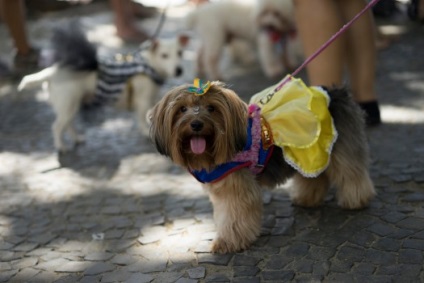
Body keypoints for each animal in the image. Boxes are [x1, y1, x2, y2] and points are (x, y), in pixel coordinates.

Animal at [18, 21, 187, 153]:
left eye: (180, 53)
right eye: (164, 55)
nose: (179, 70)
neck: (149, 64)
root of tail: (52, 72)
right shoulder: (142, 101)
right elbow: (141, 118)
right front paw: (147, 132)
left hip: (70, 107)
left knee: (68, 125)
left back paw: (77, 139)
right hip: (68, 106)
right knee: (57, 127)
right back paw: (61, 146)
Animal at [151, 78, 376, 255]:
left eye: (212, 109)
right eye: (182, 109)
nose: (196, 124)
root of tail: (337, 92)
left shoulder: (236, 189)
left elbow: (233, 217)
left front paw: (228, 242)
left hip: (340, 150)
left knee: (352, 173)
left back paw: (356, 200)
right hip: (313, 151)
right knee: (316, 176)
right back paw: (307, 199)